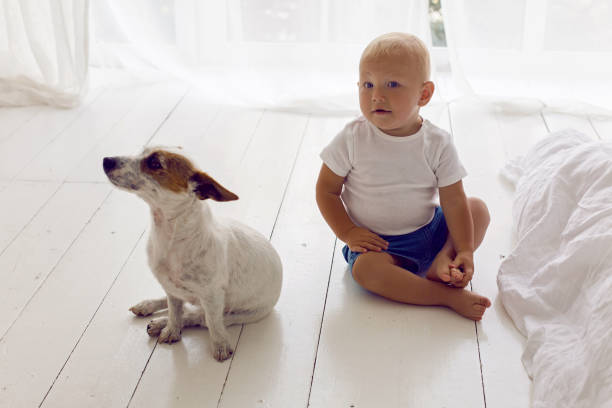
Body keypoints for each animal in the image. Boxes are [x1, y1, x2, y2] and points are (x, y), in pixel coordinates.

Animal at [102, 147, 282, 360]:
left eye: (155, 163)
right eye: (141, 152)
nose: (106, 160)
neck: (170, 237)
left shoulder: (213, 296)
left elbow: (211, 321)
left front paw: (219, 345)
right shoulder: (171, 288)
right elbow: (174, 311)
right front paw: (171, 329)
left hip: (242, 313)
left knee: (198, 316)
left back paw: (162, 322)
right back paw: (149, 307)